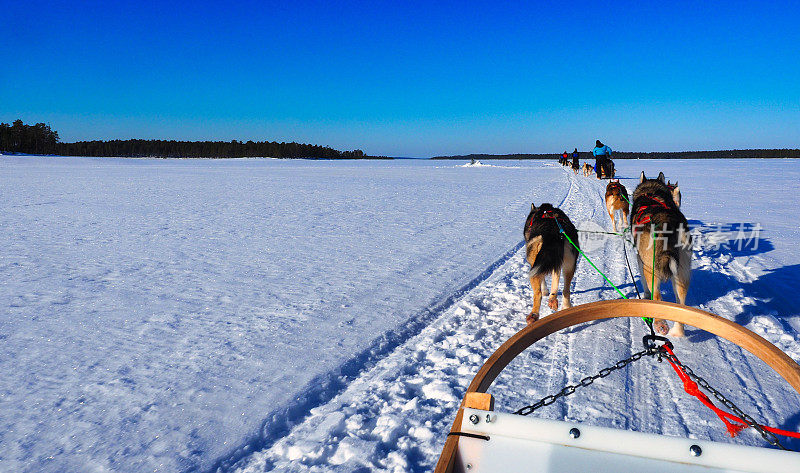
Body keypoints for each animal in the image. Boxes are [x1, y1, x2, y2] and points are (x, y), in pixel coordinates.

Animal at [632, 171, 692, 338]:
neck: (651, 193)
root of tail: (667, 222)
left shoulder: (640, 260)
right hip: (681, 273)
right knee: (681, 305)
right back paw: (677, 333)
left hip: (651, 268)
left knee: (656, 295)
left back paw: (660, 324)